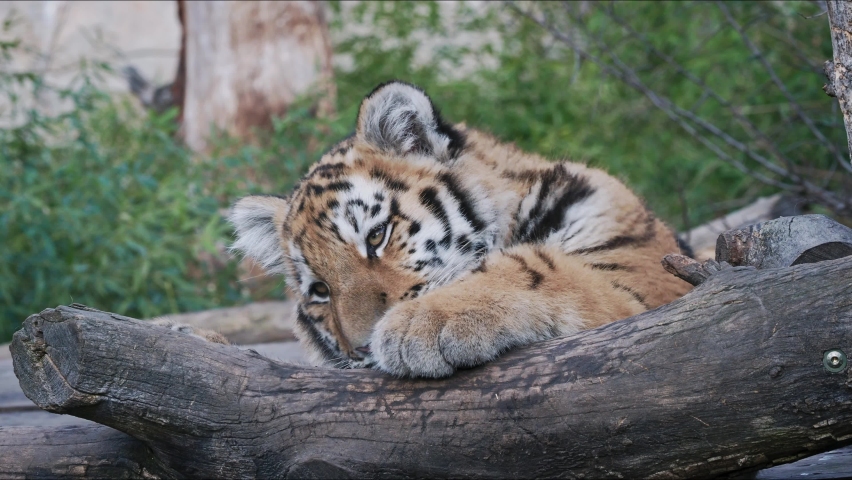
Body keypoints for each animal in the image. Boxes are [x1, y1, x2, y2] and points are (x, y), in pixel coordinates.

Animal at [228, 81, 692, 378]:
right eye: (320, 291)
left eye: (376, 237)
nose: (361, 348)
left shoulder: (640, 274)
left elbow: (535, 266)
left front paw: (419, 323)